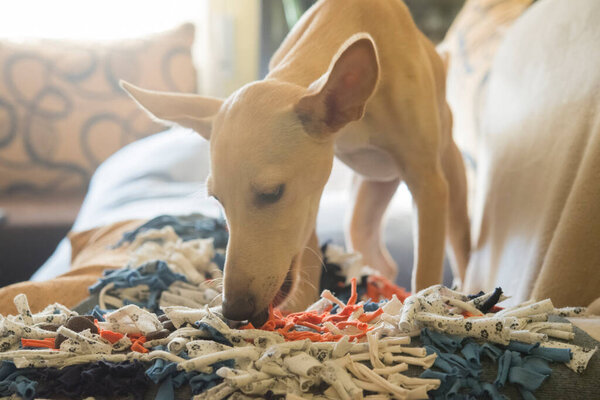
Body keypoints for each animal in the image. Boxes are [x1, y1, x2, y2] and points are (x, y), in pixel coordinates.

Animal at [119, 0, 472, 324]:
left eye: (272, 193)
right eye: (218, 200)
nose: (234, 311)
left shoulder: (427, 183)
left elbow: (425, 271)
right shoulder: (309, 203)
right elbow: (307, 260)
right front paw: (304, 313)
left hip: (450, 182)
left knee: (461, 249)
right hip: (363, 208)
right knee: (381, 261)